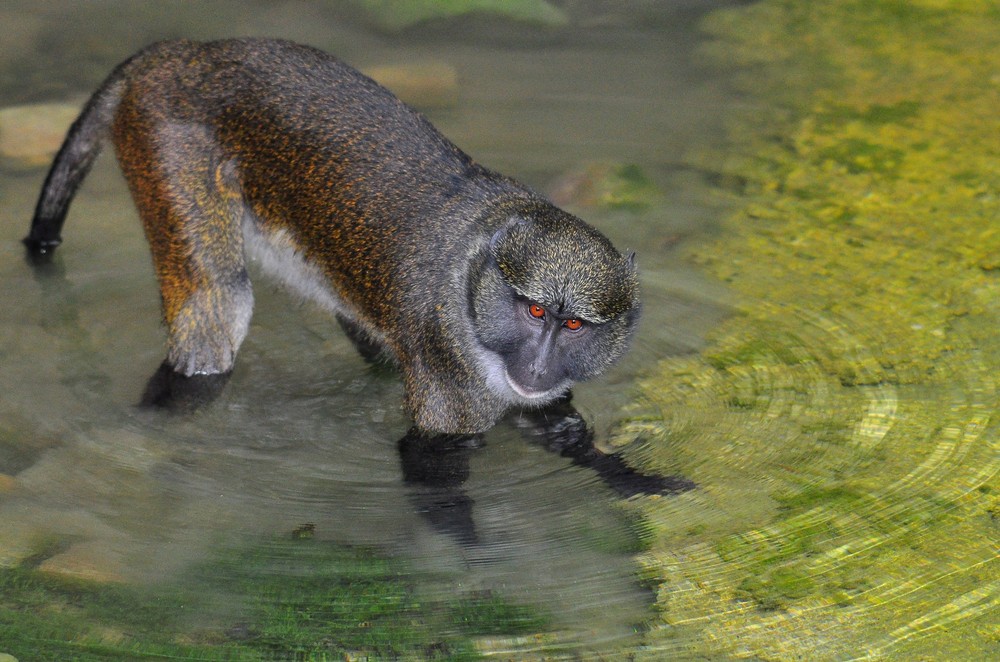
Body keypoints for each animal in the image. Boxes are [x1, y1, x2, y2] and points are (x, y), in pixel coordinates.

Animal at [25, 39, 688, 520]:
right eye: (534, 312)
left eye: (573, 324)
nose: (540, 364)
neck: (476, 277)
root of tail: (173, 54)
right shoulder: (449, 371)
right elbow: (430, 458)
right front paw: (470, 557)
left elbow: (553, 425)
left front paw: (629, 476)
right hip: (167, 149)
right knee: (218, 306)